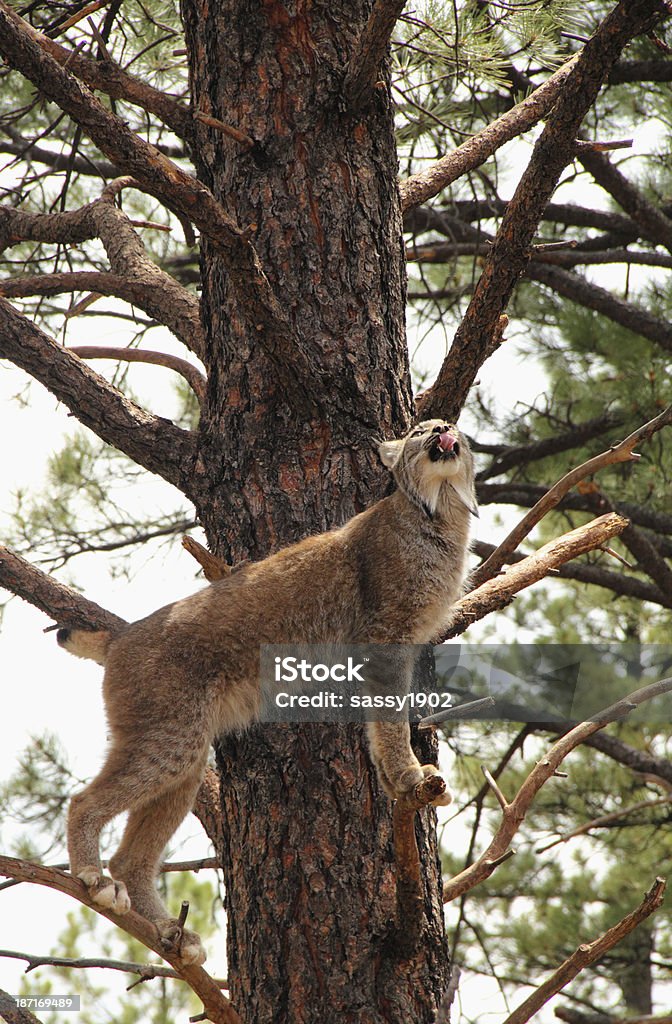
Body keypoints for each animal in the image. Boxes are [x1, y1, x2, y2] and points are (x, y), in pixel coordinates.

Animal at [59, 419, 477, 962]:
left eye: (450, 429)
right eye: (418, 431)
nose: (442, 428)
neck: (441, 509)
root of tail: (120, 635)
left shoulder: (391, 649)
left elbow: (378, 721)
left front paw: (394, 782)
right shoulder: (387, 638)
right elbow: (389, 720)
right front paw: (410, 776)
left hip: (184, 748)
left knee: (130, 856)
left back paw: (170, 931)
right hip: (172, 738)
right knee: (83, 801)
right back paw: (91, 876)